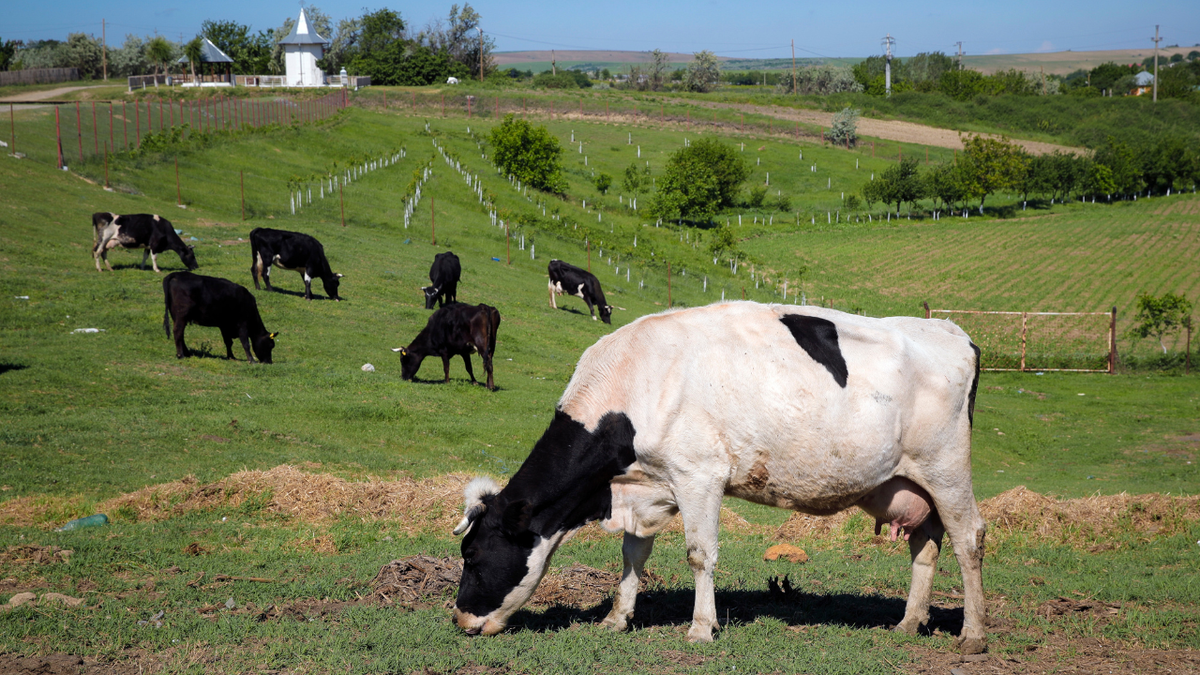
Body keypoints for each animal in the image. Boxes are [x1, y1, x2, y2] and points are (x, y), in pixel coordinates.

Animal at [450, 302, 987, 655]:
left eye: (472, 555)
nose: (459, 619)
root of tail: (953, 331)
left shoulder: (699, 474)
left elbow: (699, 554)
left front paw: (701, 628)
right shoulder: (646, 486)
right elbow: (632, 554)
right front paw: (616, 618)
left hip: (946, 468)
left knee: (968, 539)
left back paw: (974, 634)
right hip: (912, 484)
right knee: (926, 546)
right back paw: (909, 622)